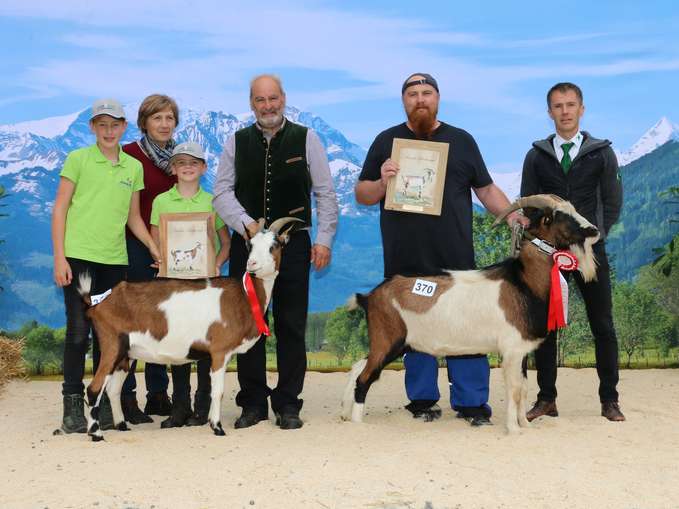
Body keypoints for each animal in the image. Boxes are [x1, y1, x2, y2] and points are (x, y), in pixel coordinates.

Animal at [78, 216, 298, 438]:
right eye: (250, 244)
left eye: (274, 245)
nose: (252, 264)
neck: (243, 296)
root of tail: (98, 303)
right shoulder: (220, 351)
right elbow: (218, 391)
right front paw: (217, 427)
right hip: (112, 345)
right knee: (94, 389)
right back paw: (96, 434)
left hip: (126, 354)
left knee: (113, 389)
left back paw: (122, 426)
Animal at [342, 194, 596, 432]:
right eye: (560, 216)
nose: (594, 230)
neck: (523, 281)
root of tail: (369, 297)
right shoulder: (511, 350)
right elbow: (514, 390)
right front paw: (514, 430)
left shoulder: (522, 351)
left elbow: (523, 389)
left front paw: (526, 425)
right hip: (388, 339)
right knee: (365, 378)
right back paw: (357, 423)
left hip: (392, 343)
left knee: (357, 367)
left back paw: (344, 414)